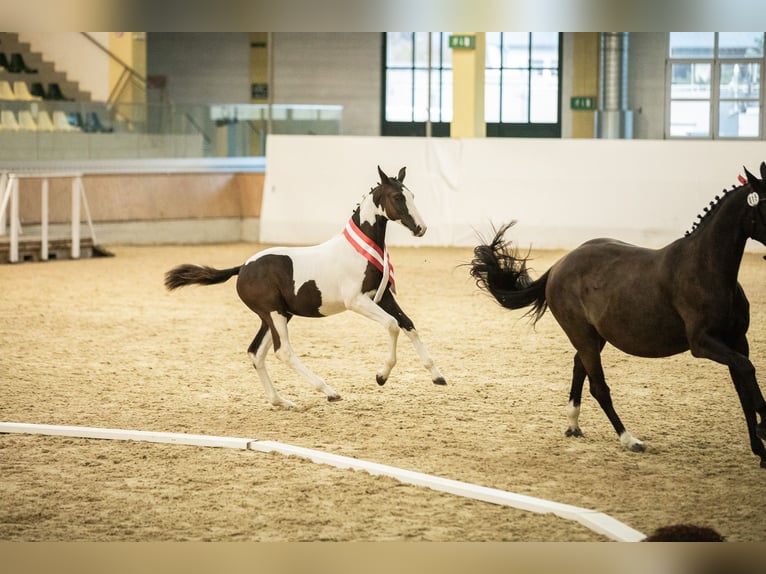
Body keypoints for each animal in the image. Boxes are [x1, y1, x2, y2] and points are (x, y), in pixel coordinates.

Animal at [165, 166, 448, 410]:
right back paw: (328, 391)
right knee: (283, 351)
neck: (361, 250)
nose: (421, 229)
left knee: (256, 353)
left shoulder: (381, 297)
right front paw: (381, 376)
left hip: (277, 315)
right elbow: (392, 325)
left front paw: (437, 376)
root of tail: (243, 267)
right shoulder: (356, 301)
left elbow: (408, 324)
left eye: (412, 195)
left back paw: (281, 401)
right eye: (397, 197)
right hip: (274, 314)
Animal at [472, 164, 766, 470]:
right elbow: (746, 371)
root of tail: (559, 265)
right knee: (599, 386)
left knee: (579, 366)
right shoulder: (703, 344)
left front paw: (761, 450)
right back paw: (629, 440)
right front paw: (764, 426)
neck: (705, 270)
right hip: (583, 335)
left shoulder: (736, 341)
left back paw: (574, 425)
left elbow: (743, 387)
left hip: (595, 336)